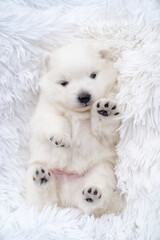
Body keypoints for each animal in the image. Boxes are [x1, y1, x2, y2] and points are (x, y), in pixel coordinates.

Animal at [26, 42, 124, 217]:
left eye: (93, 75)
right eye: (64, 83)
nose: (84, 96)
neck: (79, 113)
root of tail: (68, 201)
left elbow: (105, 130)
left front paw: (105, 110)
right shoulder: (47, 109)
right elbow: (56, 120)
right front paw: (60, 139)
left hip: (101, 169)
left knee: (94, 202)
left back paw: (92, 194)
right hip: (37, 170)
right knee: (44, 202)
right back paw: (42, 178)